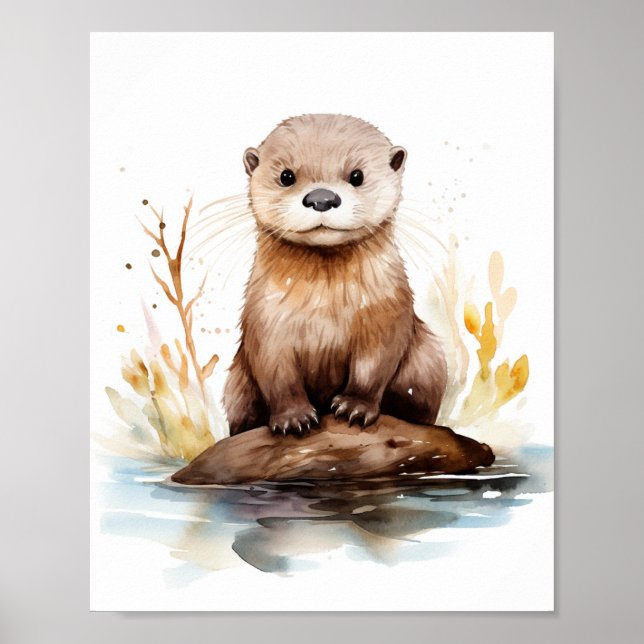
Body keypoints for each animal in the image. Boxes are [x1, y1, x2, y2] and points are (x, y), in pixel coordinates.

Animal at [224, 114, 447, 436]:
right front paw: (293, 418)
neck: (325, 311)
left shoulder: (387, 312)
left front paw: (355, 406)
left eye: (357, 176)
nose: (322, 198)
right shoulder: (264, 320)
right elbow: (276, 373)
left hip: (428, 358)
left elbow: (374, 364)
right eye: (286, 176)